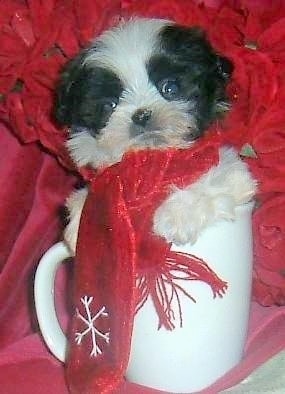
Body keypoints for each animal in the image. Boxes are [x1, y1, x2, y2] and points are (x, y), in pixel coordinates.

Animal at [55, 17, 255, 252]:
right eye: (109, 105)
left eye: (170, 88)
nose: (141, 115)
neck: (149, 167)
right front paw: (83, 224)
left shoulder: (229, 170)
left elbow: (216, 176)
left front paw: (178, 215)